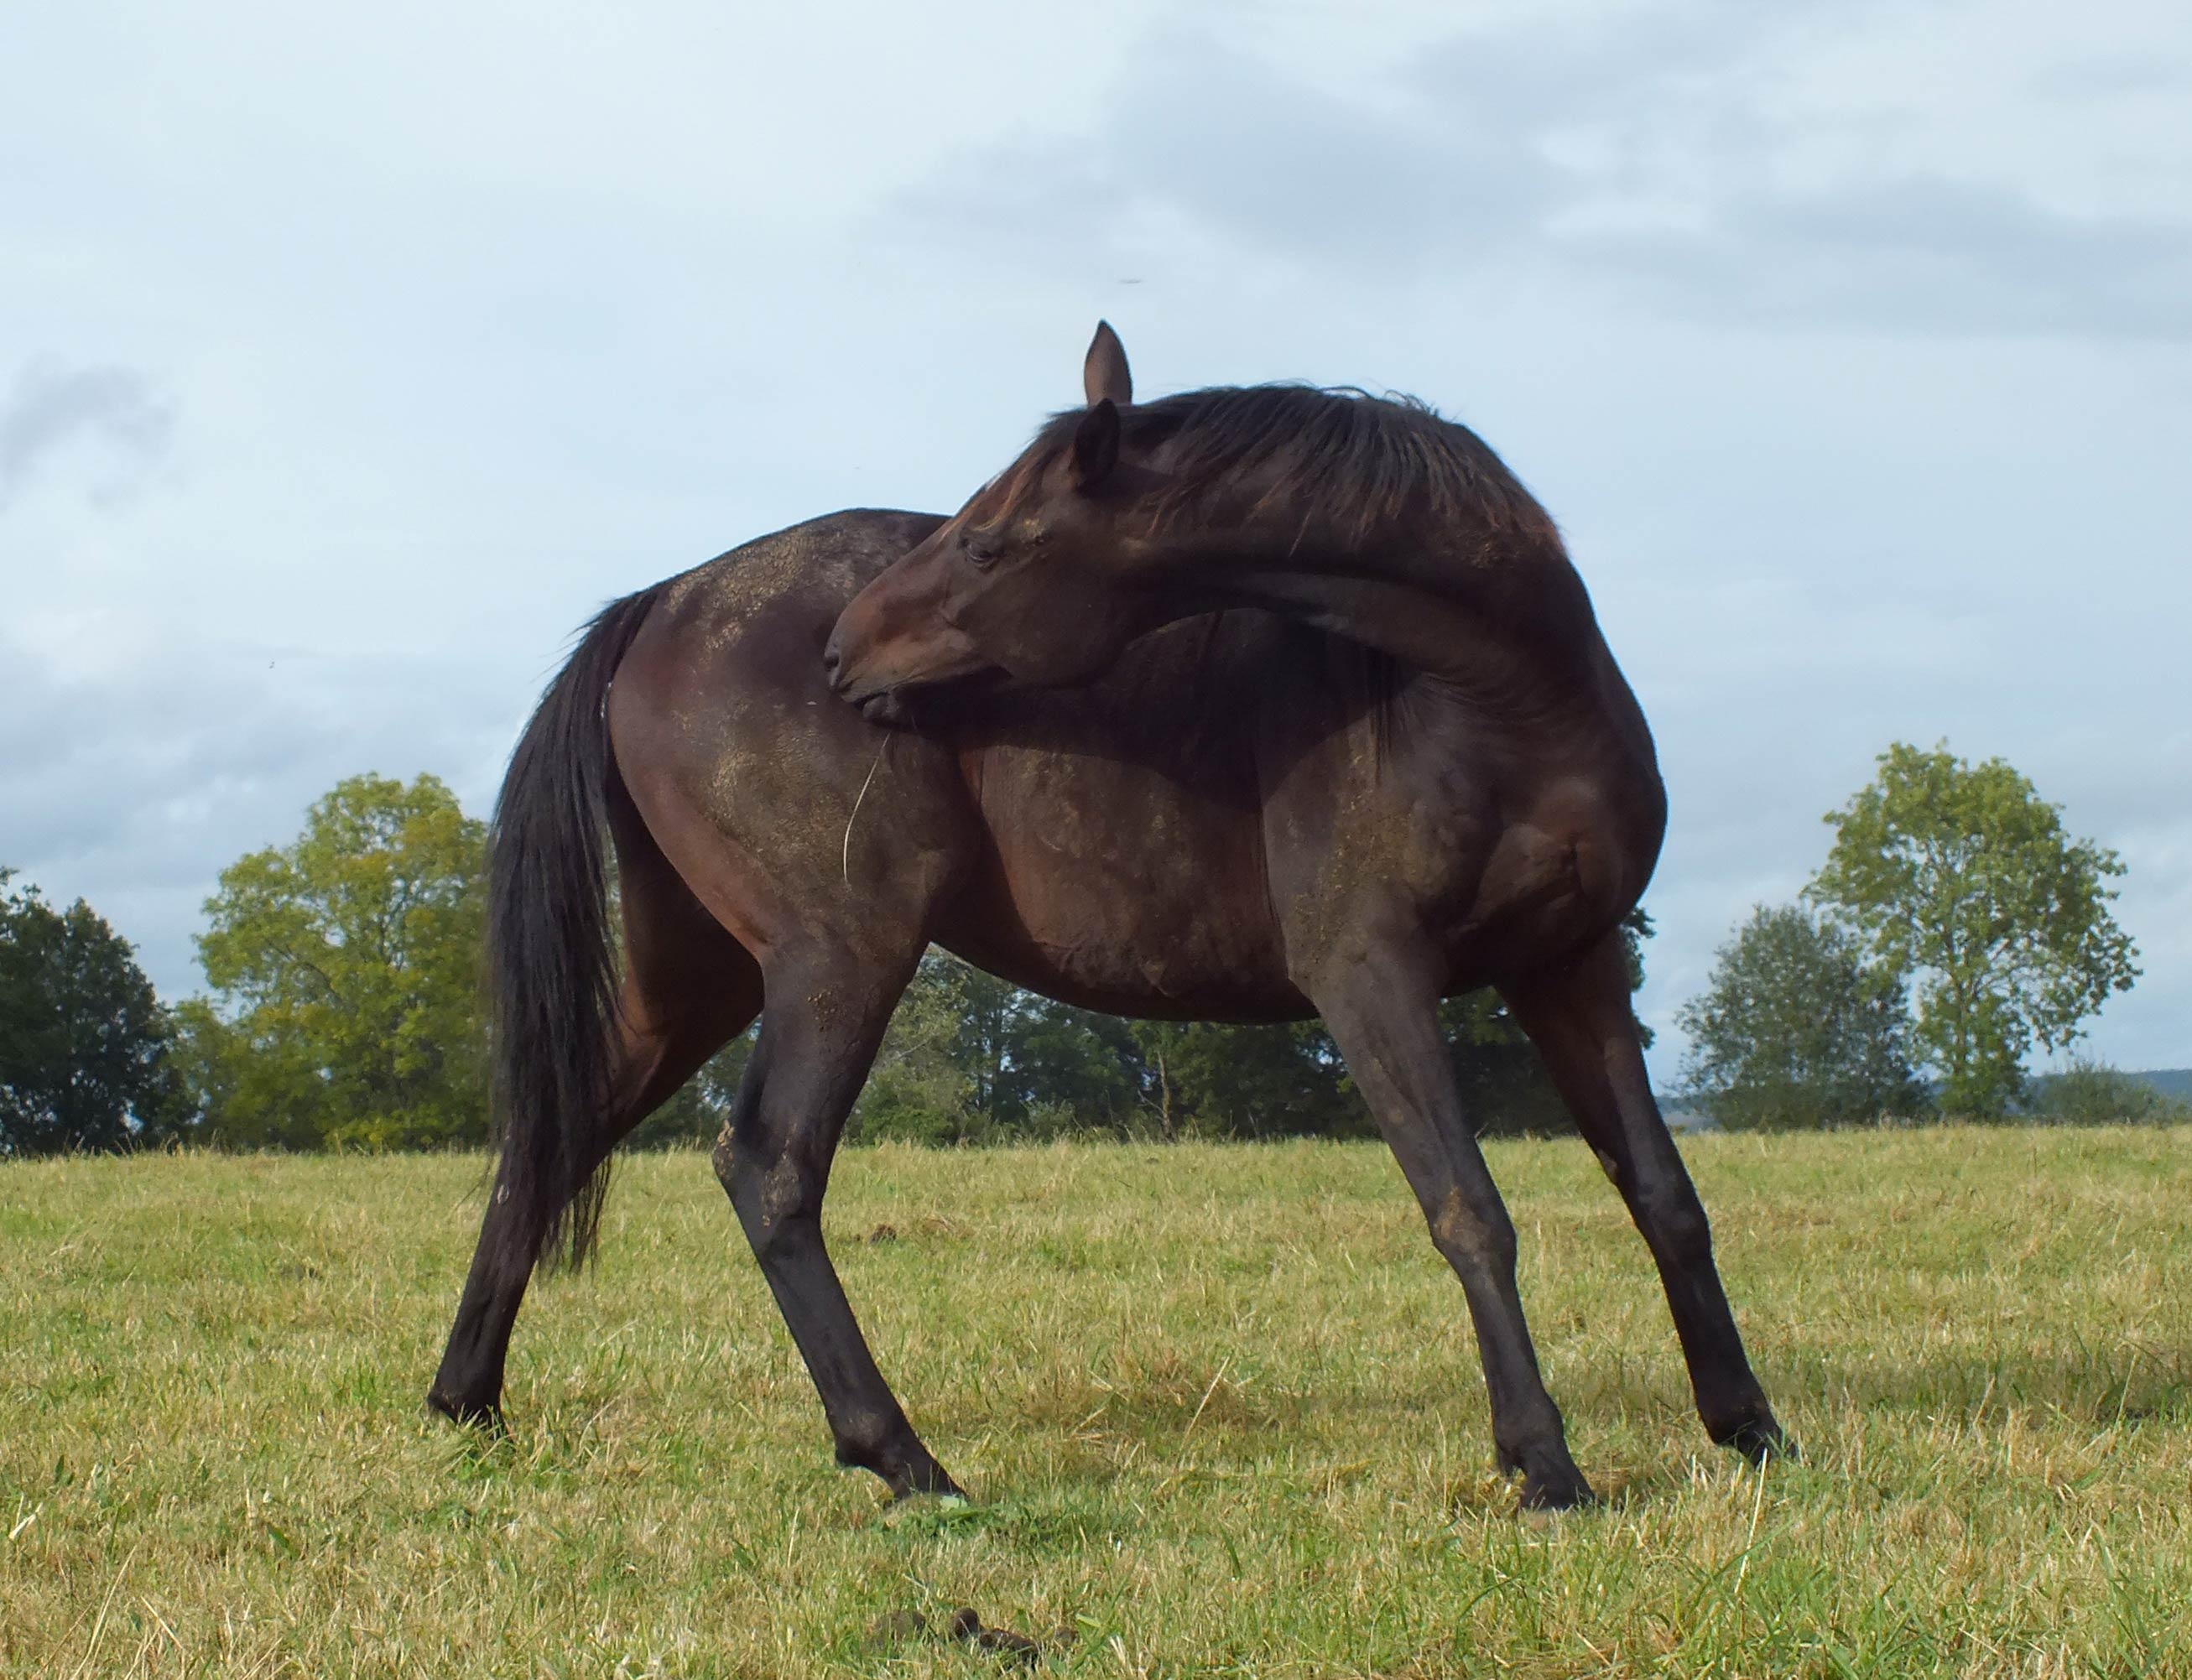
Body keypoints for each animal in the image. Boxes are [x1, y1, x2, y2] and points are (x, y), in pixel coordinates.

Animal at [429, 324, 1785, 1510]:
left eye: (989, 543)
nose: (841, 651)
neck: (1494, 697)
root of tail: (657, 600)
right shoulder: (1370, 971)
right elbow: (1468, 1209)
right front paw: (1544, 1463)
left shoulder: (1575, 962)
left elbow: (1664, 1193)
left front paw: (1751, 1426)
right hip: (837, 955)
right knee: (769, 1168)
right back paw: (904, 1459)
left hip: (699, 982)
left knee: (549, 1140)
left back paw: (466, 1404)